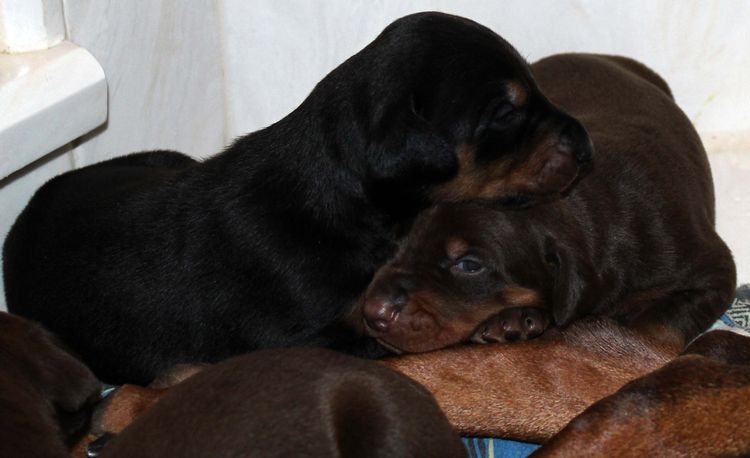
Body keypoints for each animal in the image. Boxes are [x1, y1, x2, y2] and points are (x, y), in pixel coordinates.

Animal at [362, 54, 736, 354]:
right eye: (400, 241)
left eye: (469, 265)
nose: (372, 311)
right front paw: (517, 319)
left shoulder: (710, 269)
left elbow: (659, 325)